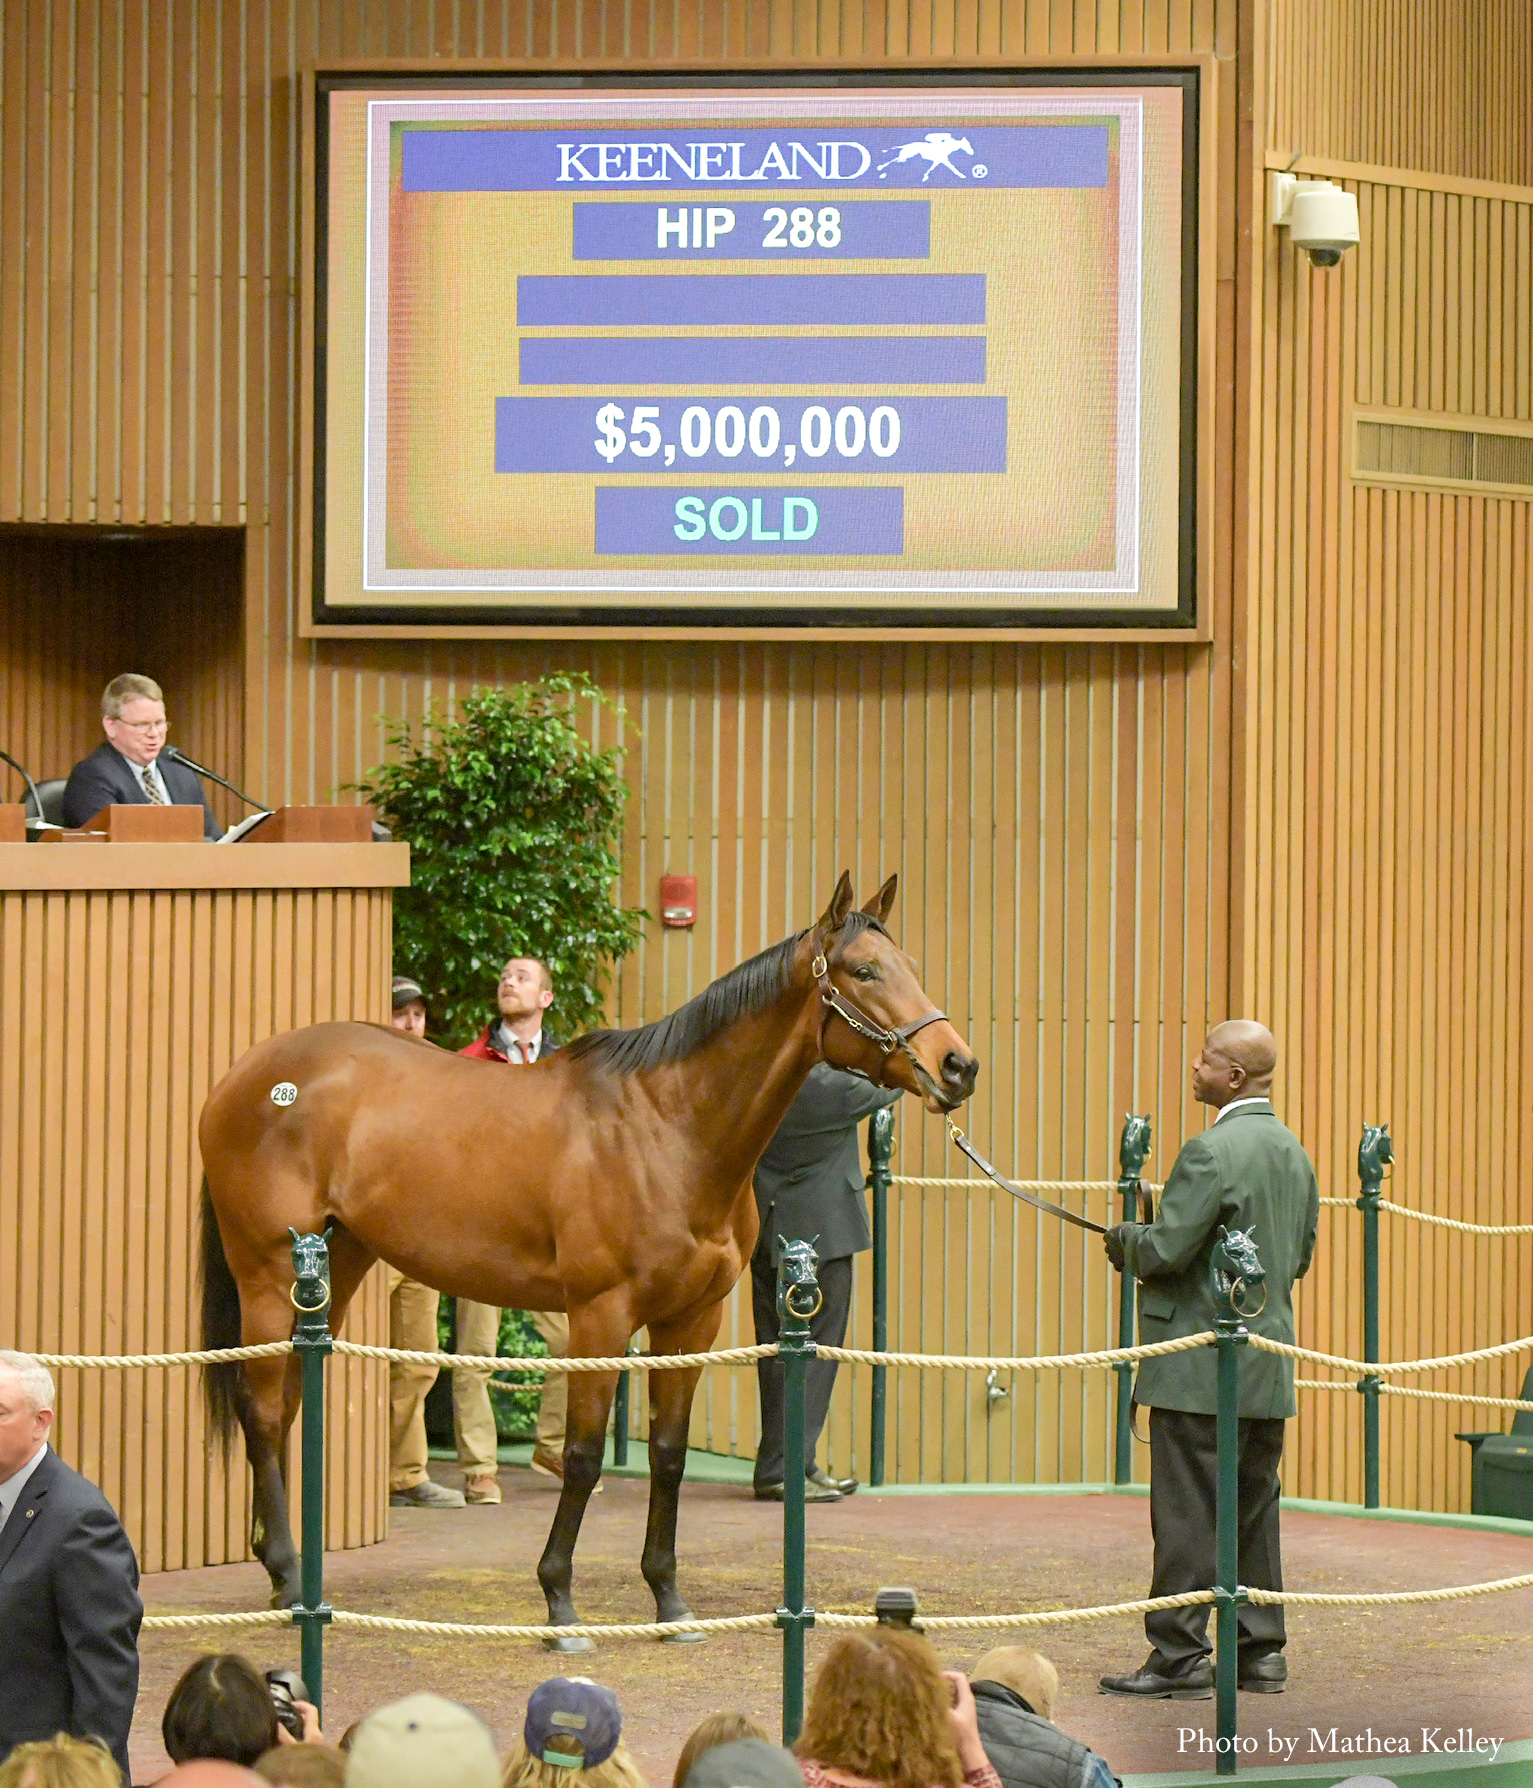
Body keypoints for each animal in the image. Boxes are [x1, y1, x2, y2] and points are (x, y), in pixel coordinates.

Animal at [197, 872, 973, 1637]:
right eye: (863, 971)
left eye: (907, 965)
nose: (958, 1065)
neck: (668, 1127)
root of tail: (246, 1075)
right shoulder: (600, 1317)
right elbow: (581, 1455)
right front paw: (559, 1600)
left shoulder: (691, 1323)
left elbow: (667, 1456)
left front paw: (668, 1600)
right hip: (267, 1274)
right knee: (261, 1411)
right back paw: (290, 1577)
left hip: (334, 1271)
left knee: (287, 1402)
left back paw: (281, 1571)